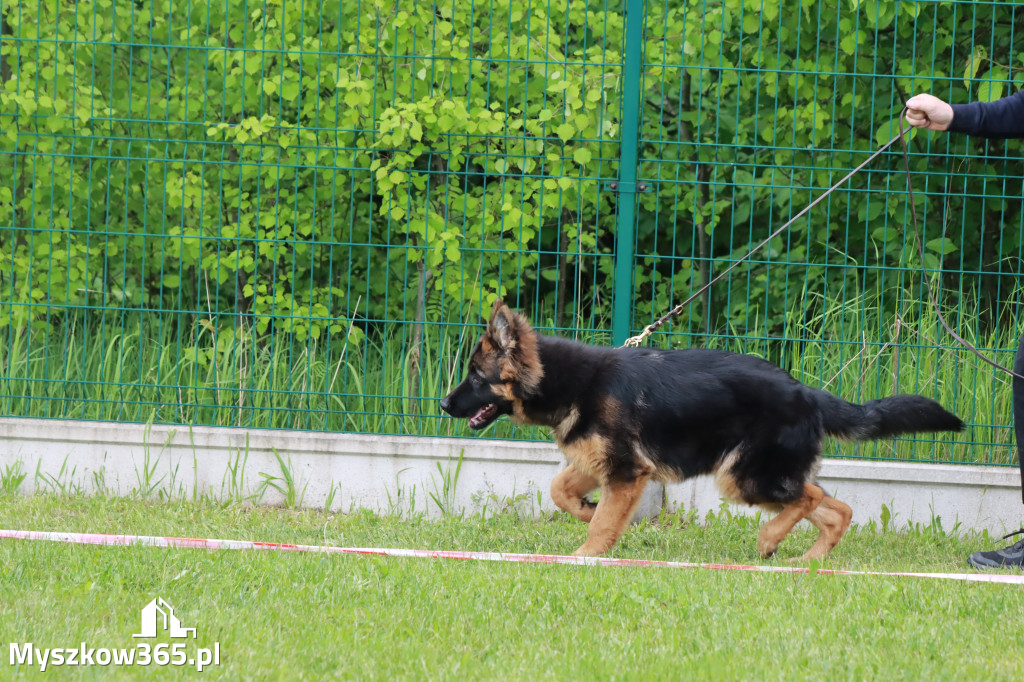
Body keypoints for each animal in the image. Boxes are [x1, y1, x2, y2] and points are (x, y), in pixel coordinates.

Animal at [438, 301, 958, 557]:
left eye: (476, 377)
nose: (442, 404)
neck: (568, 381)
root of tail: (805, 391)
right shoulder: (600, 463)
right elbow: (560, 490)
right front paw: (585, 512)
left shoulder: (625, 472)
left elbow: (603, 520)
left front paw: (586, 552)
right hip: (760, 475)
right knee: (837, 507)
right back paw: (808, 561)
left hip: (742, 476)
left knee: (809, 499)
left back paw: (770, 540)